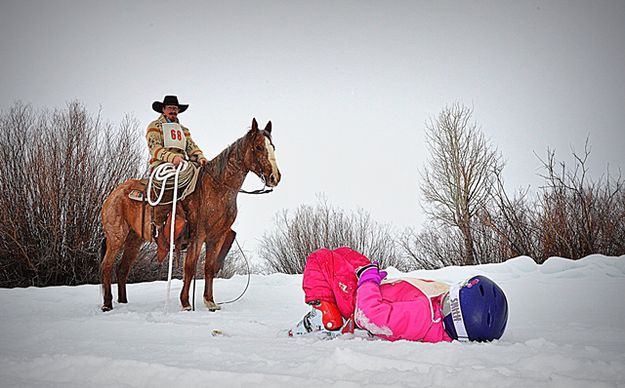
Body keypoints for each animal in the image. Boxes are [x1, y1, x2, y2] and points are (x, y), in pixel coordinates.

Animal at [100, 118, 280, 312]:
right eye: (259, 147)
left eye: (273, 146)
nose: (275, 177)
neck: (217, 188)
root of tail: (113, 195)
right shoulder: (197, 236)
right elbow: (190, 267)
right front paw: (186, 303)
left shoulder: (217, 237)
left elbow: (209, 267)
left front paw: (210, 302)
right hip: (116, 236)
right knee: (107, 266)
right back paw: (107, 304)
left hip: (134, 239)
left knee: (122, 269)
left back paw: (123, 302)